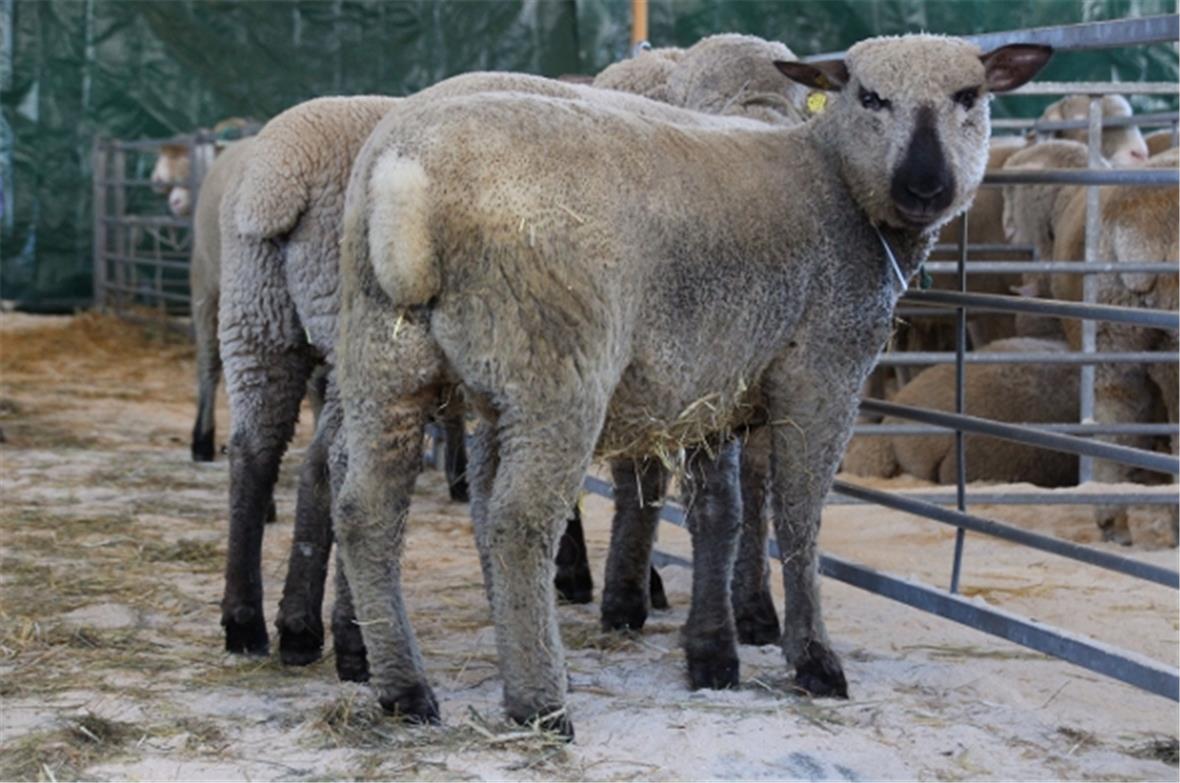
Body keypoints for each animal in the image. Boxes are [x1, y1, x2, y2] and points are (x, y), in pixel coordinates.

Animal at [332, 35, 1051, 733]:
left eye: (969, 95)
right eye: (870, 97)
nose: (925, 185)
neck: (833, 180)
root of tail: (409, 181)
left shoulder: (715, 380)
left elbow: (721, 514)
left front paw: (714, 650)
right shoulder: (822, 371)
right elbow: (799, 516)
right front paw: (813, 658)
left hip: (386, 361)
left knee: (366, 513)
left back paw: (404, 690)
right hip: (555, 368)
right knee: (517, 521)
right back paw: (540, 702)